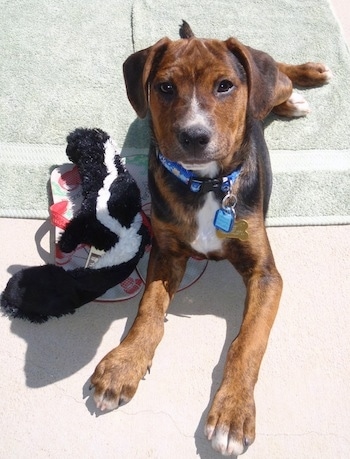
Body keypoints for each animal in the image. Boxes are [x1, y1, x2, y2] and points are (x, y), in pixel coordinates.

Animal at [90, 22, 330, 459]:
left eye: (225, 86)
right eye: (165, 87)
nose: (194, 136)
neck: (206, 185)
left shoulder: (266, 274)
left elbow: (247, 343)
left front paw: (233, 413)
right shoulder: (166, 253)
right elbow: (149, 310)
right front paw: (124, 364)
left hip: (274, 84)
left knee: (278, 75)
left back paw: (305, 79)